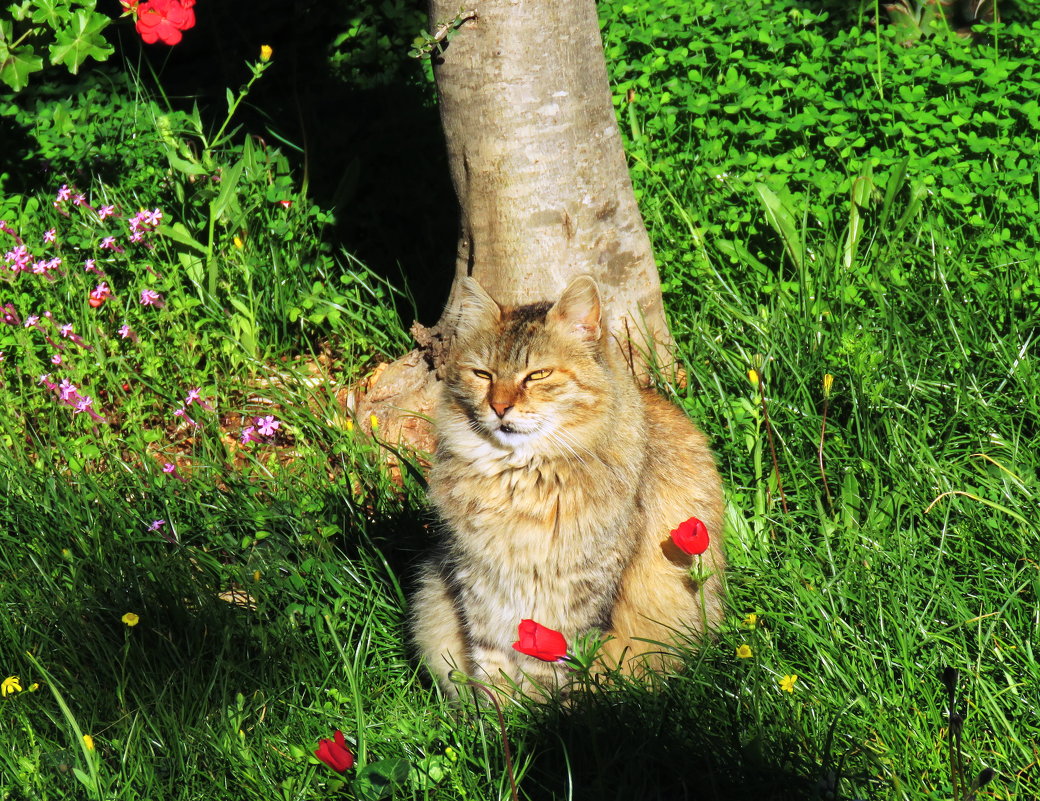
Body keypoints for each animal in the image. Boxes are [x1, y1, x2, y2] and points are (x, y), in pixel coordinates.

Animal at [411, 270, 723, 694]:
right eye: (483, 375)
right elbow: (490, 672)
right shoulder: (479, 587)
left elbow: (544, 678)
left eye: (537, 375)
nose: (499, 407)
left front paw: (538, 712)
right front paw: (497, 712)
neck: (515, 480)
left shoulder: (571, 601)